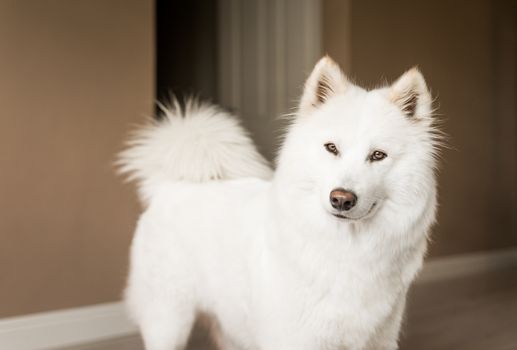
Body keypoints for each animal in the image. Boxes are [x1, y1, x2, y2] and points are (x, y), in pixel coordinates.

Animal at [119, 56, 442, 348]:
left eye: (378, 155)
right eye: (331, 148)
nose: (341, 199)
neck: (346, 249)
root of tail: (171, 186)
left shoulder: (379, 339)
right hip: (169, 321)